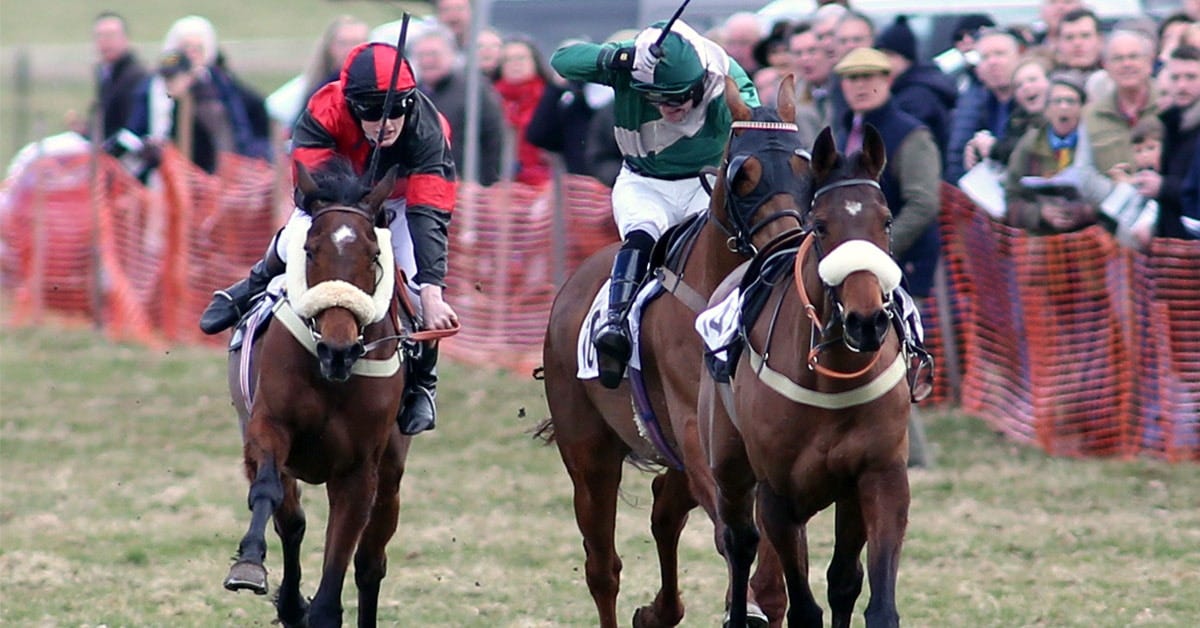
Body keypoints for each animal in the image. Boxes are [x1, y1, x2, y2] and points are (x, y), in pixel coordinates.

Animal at [223, 159, 410, 624]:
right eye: (309, 250)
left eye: (374, 255)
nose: (338, 349)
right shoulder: (268, 426)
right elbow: (270, 495)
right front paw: (249, 566)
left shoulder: (360, 469)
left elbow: (342, 548)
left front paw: (320, 609)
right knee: (291, 520)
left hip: (391, 473)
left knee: (370, 562)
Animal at [537, 78, 811, 628]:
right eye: (743, 173)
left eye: (803, 166)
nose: (788, 242)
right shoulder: (694, 434)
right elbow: (733, 537)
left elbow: (778, 562)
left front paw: (758, 599)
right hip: (589, 452)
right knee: (603, 566)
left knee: (664, 507)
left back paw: (660, 611)